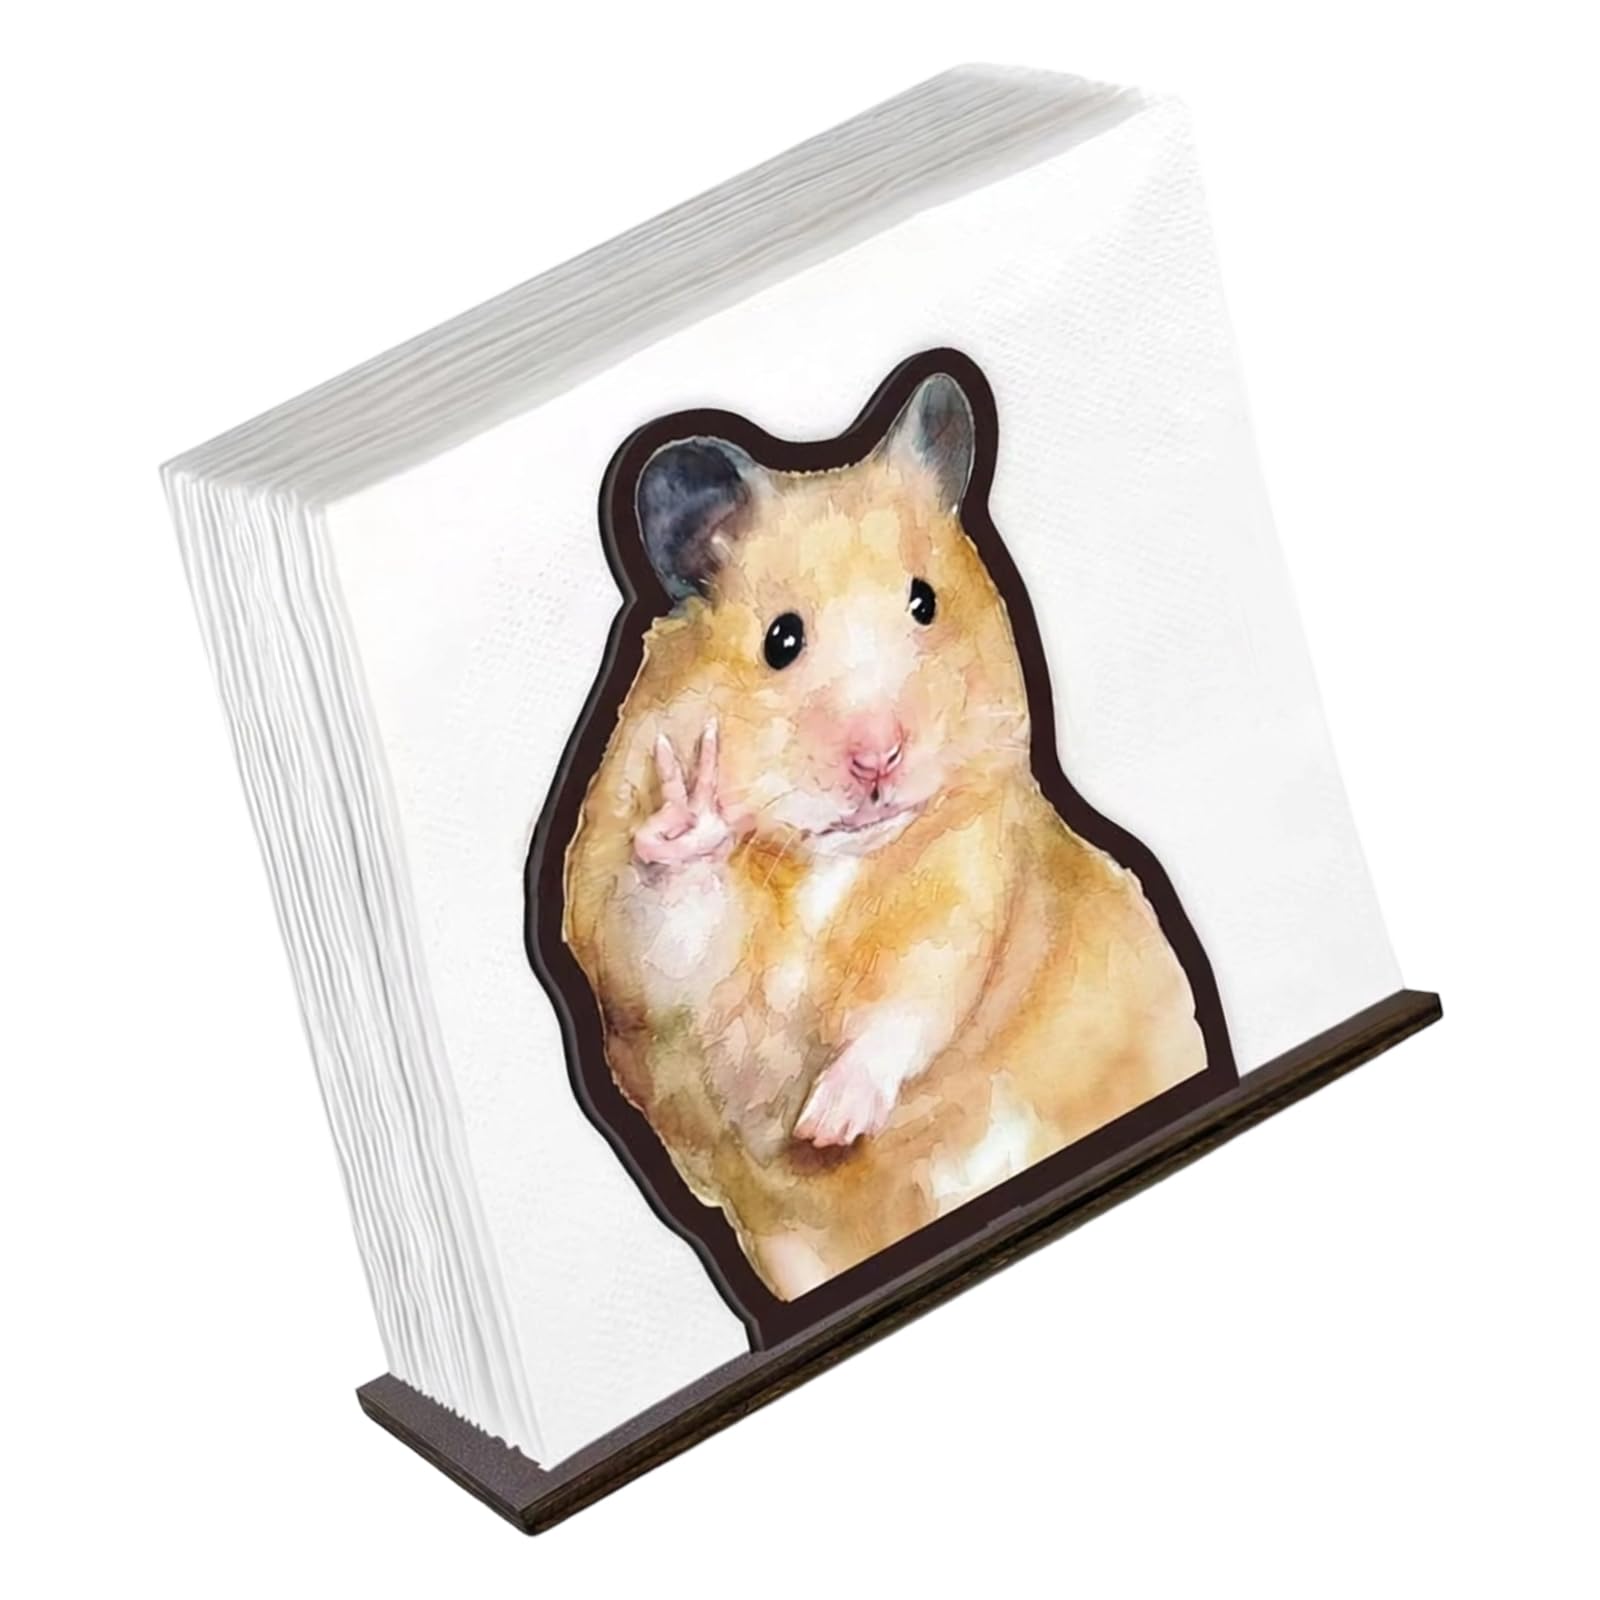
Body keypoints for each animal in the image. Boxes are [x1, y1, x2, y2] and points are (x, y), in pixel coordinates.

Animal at [563, 369, 1207, 1300]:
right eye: (781, 639)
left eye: (923, 600)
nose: (880, 757)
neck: (830, 860)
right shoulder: (640, 970)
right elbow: (670, 932)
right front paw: (693, 810)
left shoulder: (971, 879)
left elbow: (912, 998)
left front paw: (829, 1122)